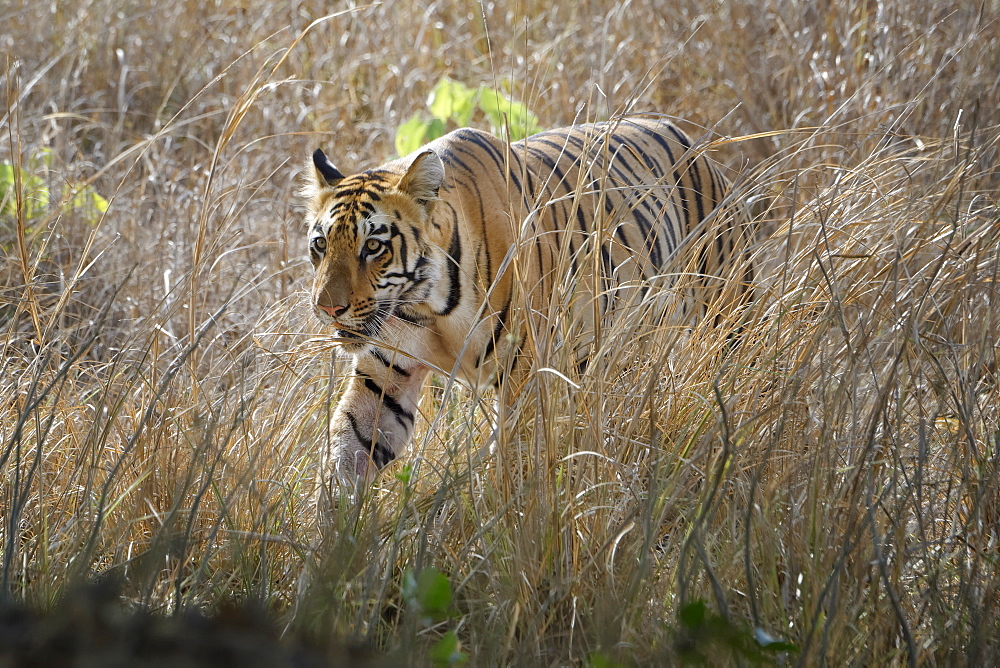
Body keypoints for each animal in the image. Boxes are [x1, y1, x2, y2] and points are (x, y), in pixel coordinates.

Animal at [300, 115, 752, 490]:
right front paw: (335, 535)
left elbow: (514, 465)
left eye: (373, 247)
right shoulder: (385, 378)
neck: (429, 307)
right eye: (320, 244)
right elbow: (348, 449)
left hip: (726, 316)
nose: (327, 308)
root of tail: (690, 139)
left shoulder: (526, 378)